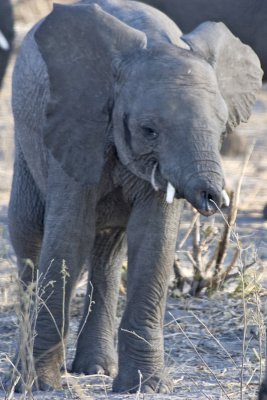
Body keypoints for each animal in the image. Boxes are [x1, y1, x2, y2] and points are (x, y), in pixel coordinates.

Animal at [8, 0, 264, 394]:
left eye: (222, 129)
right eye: (149, 130)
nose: (214, 200)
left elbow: (154, 241)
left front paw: (146, 387)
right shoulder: (78, 125)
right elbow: (68, 236)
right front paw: (42, 385)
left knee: (108, 249)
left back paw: (95, 369)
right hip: (27, 137)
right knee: (29, 235)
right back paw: (22, 376)